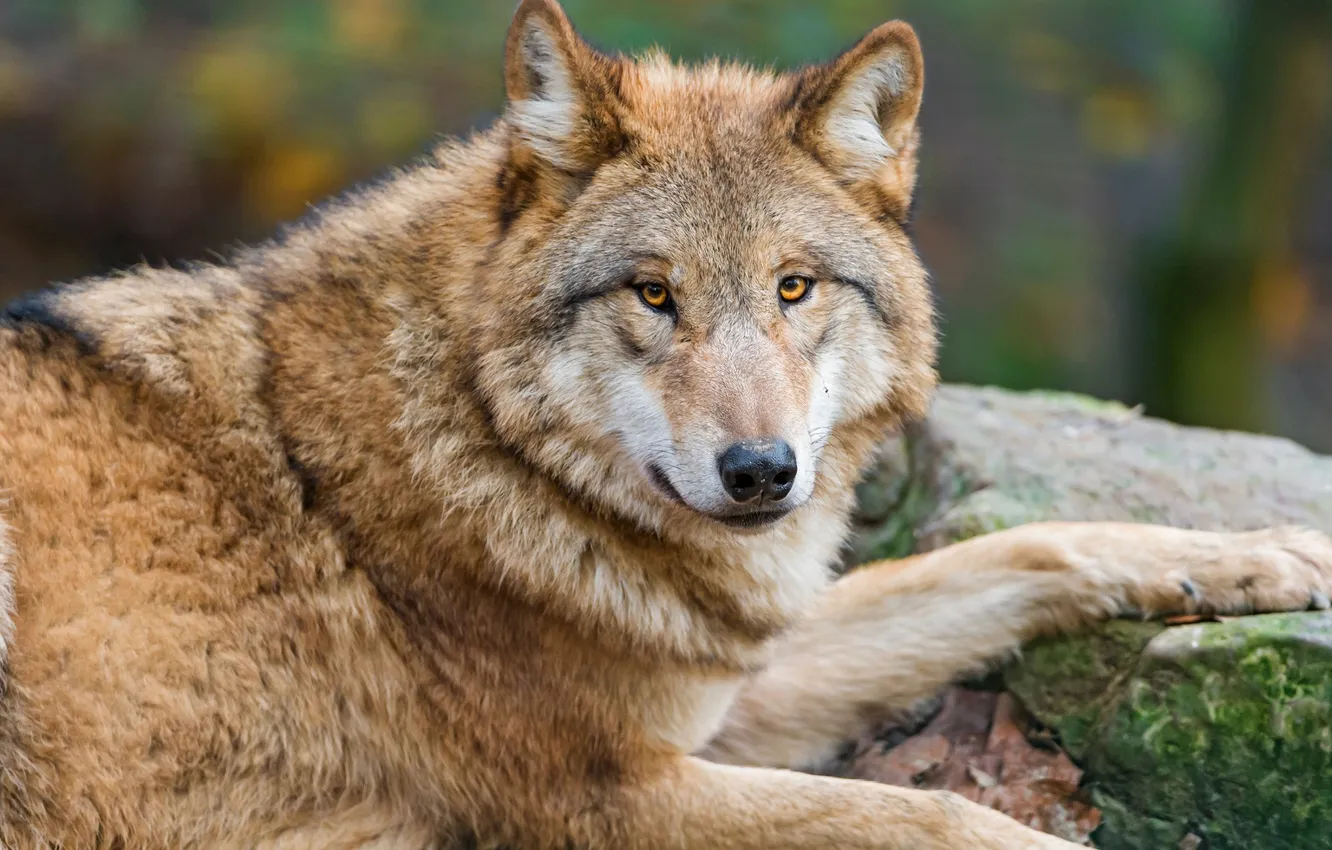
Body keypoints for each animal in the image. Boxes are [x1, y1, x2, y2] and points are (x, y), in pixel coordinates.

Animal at [1, 1, 1329, 847]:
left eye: (793, 286)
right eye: (654, 293)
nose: (761, 473)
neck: (485, 448)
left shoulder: (728, 680)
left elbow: (1021, 547)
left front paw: (1259, 557)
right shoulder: (610, 796)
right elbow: (934, 811)